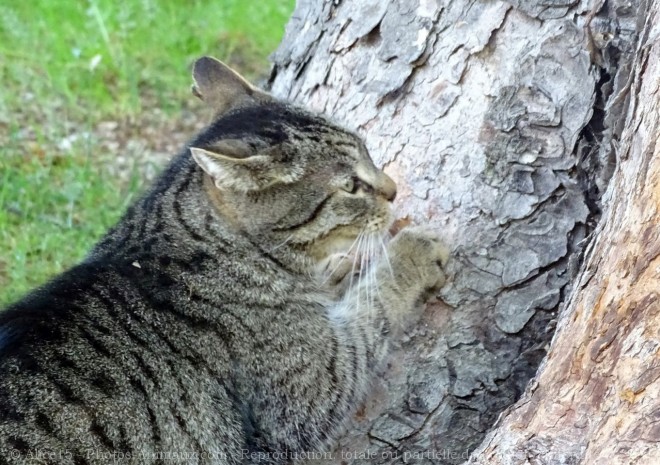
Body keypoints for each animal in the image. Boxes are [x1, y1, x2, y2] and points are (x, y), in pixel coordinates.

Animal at [0, 56, 448, 462]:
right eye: (351, 186)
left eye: (367, 151)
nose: (392, 189)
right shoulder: (315, 389)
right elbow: (374, 307)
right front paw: (410, 253)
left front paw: (342, 267)